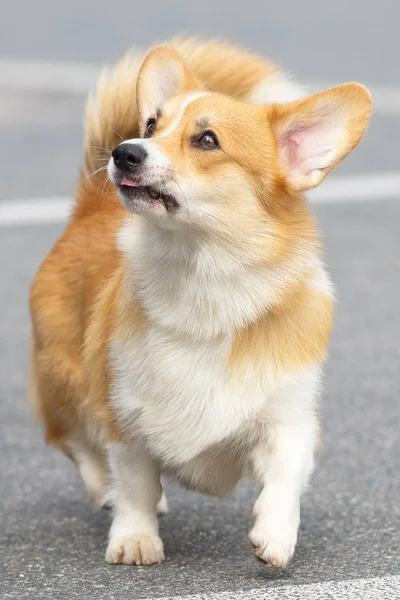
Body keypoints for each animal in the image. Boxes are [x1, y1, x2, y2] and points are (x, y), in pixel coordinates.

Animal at [30, 38, 372, 568]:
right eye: (152, 125)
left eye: (207, 140)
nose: (124, 152)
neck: (203, 278)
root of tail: (90, 207)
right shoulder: (125, 413)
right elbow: (136, 484)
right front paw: (135, 538)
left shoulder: (289, 413)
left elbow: (287, 472)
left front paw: (276, 534)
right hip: (64, 376)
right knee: (76, 443)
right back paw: (104, 488)